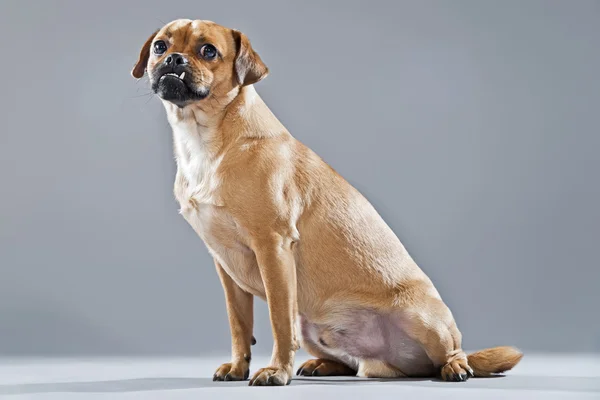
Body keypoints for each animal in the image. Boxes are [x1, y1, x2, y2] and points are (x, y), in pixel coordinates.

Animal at [130, 19, 520, 388]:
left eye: (208, 51)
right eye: (160, 46)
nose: (173, 59)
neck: (205, 137)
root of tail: (398, 362)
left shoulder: (273, 249)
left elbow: (278, 322)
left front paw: (276, 371)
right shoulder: (226, 269)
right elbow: (239, 325)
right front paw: (239, 367)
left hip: (423, 319)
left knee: (452, 353)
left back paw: (455, 367)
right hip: (313, 328)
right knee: (355, 364)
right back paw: (324, 364)